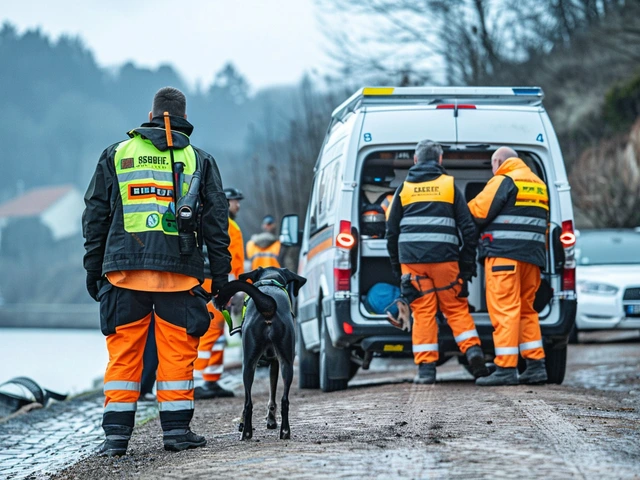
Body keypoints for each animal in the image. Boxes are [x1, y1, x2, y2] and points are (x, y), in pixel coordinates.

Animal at [214, 266, 306, 438]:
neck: (269, 280)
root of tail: (268, 305)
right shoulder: (275, 364)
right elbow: (272, 396)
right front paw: (271, 420)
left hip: (248, 365)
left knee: (248, 402)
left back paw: (246, 432)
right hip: (287, 363)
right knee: (284, 400)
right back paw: (285, 431)